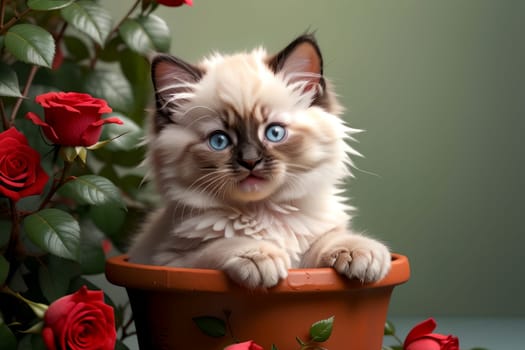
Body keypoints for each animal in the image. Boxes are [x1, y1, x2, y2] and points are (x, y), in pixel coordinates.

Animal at [127, 34, 388, 288]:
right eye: (219, 141)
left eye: (274, 133)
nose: (250, 161)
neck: (262, 213)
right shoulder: (173, 262)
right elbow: (220, 247)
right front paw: (259, 257)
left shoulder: (307, 261)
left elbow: (330, 240)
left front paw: (360, 253)